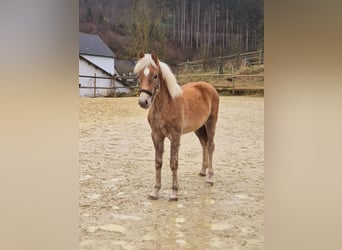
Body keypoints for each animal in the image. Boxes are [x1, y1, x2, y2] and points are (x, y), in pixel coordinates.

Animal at [134, 51, 219, 201]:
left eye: (155, 76)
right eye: (139, 75)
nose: (143, 102)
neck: (166, 105)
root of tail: (209, 87)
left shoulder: (175, 136)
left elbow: (173, 163)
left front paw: (174, 193)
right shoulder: (156, 135)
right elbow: (158, 162)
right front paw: (155, 191)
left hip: (211, 123)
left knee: (210, 146)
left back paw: (210, 177)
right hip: (198, 128)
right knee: (204, 143)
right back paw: (203, 171)